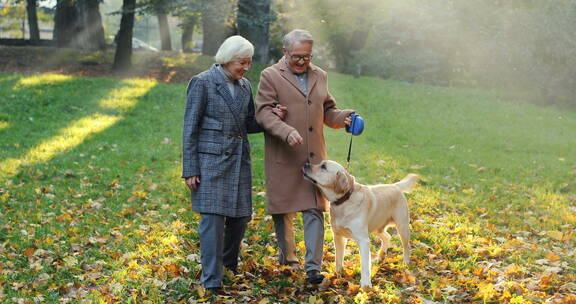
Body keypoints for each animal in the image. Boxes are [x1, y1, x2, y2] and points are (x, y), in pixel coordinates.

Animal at [302, 160, 418, 288]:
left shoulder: (363, 240)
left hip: (402, 227)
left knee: (406, 246)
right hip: (377, 228)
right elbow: (338, 258)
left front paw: (366, 285)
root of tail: (395, 185)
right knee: (387, 237)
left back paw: (405, 262)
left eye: (323, 167)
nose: (305, 164)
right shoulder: (338, 236)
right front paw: (338, 274)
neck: (344, 201)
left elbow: (365, 266)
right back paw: (380, 256)